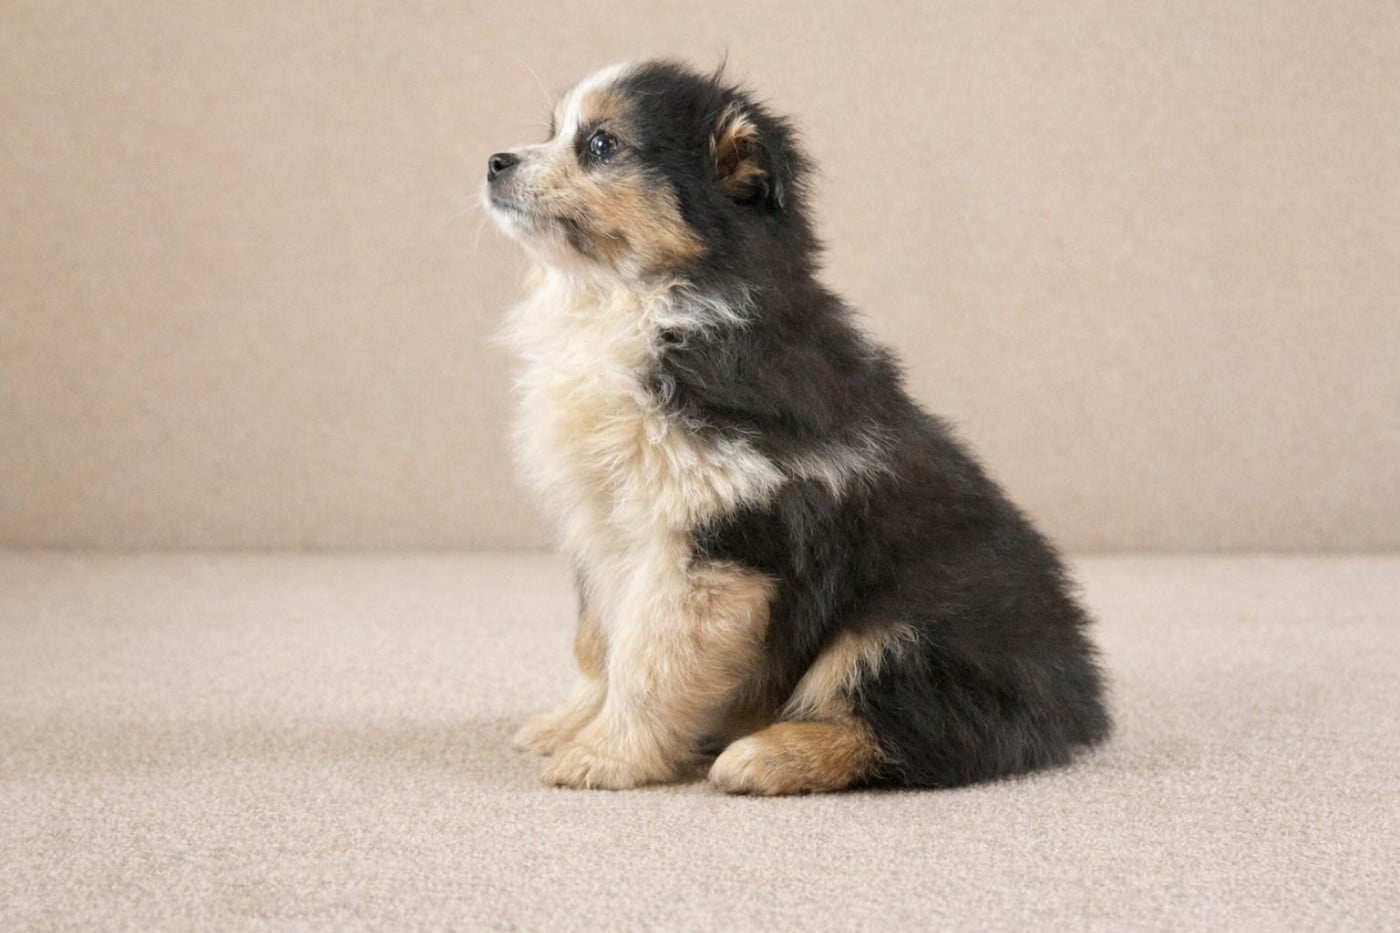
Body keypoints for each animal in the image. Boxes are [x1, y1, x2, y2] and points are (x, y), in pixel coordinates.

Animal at [483, 61, 1110, 794]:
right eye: (552, 130)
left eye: (602, 145)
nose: (495, 162)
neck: (637, 301)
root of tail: (1081, 700)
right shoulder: (599, 523)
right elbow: (597, 638)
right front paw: (568, 723)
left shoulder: (720, 532)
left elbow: (649, 655)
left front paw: (606, 756)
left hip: (912, 622)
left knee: (935, 731)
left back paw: (765, 755)